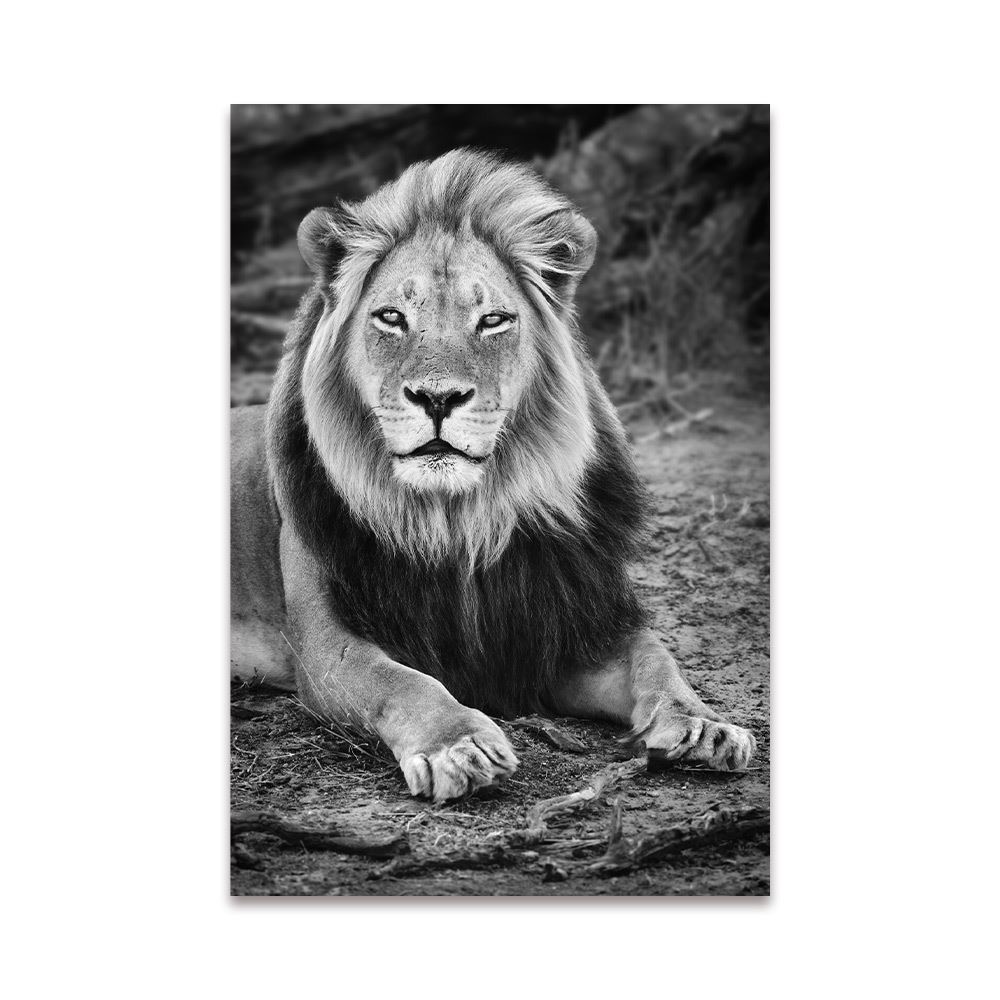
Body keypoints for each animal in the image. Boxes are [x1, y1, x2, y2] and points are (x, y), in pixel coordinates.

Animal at [231, 149, 756, 803]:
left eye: (493, 320)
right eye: (391, 317)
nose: (438, 398)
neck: (460, 519)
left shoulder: (570, 625)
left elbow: (657, 658)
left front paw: (704, 724)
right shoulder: (326, 645)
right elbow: (401, 682)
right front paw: (458, 744)